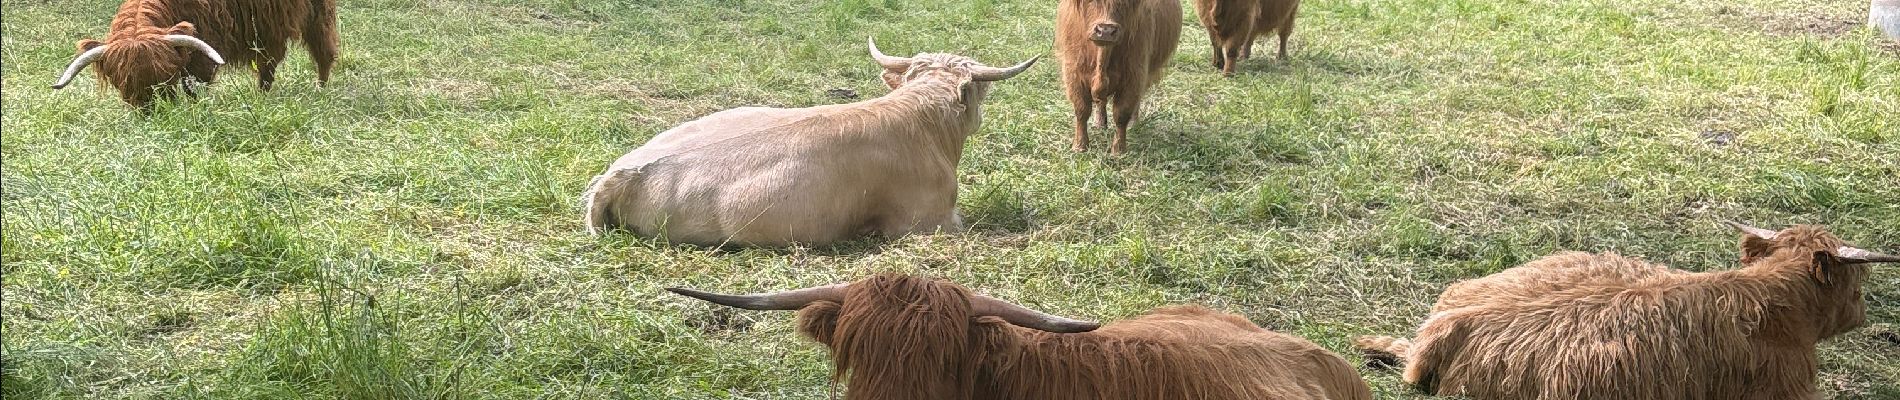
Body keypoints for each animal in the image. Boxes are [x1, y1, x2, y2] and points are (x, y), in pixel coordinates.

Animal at [51, 0, 342, 109]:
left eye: (165, 76)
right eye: (124, 82)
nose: (151, 110)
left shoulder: (204, 51)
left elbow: (194, 85)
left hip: (310, 14)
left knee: (319, 50)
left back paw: (316, 88)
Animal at [1048, 0, 1178, 154]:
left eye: (1124, 3)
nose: (1105, 30)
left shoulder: (1135, 76)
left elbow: (1121, 113)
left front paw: (1118, 150)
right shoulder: (1073, 73)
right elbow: (1081, 110)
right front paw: (1079, 146)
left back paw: (1133, 123)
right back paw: (1099, 123)